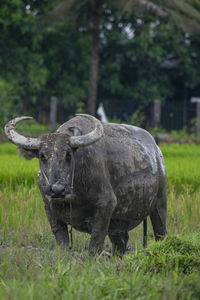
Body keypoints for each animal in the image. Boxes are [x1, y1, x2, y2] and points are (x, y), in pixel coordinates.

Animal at [5, 114, 166, 255]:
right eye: (42, 156)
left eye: (68, 154)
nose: (57, 190)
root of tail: (156, 151)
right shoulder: (50, 209)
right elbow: (62, 243)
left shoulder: (106, 205)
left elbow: (95, 244)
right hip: (119, 222)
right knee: (121, 243)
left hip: (159, 203)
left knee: (160, 232)